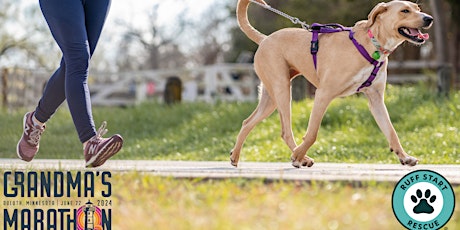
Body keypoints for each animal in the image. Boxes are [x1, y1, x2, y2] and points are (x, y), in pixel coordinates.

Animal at [232, 0, 434, 168]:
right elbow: (312, 133)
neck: (372, 43)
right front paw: (298, 156)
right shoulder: (323, 94)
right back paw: (301, 157)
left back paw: (235, 156)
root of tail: (265, 39)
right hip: (282, 90)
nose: (429, 19)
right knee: (285, 131)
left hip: (270, 98)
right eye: (404, 11)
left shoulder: (376, 100)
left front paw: (404, 157)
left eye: (418, 9)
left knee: (247, 122)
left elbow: (391, 132)